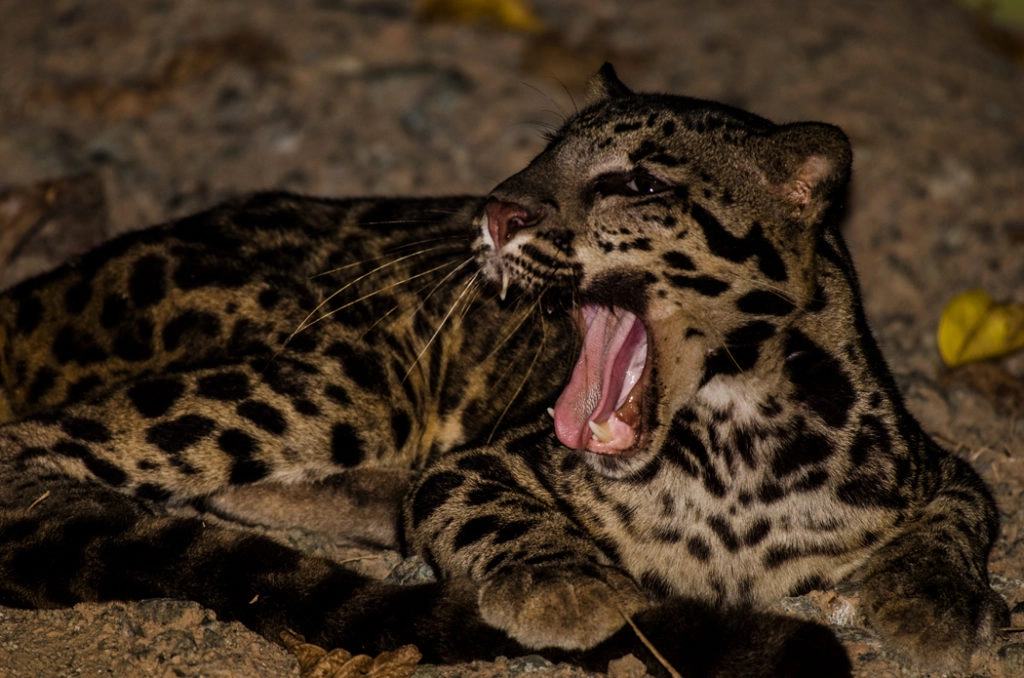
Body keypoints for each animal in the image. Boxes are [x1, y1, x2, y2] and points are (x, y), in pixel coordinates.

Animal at [0, 64, 1007, 677]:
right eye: (541, 154)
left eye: (637, 182)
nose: (495, 209)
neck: (734, 445)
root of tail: (50, 285)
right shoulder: (482, 459)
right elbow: (496, 507)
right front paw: (566, 584)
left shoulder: (939, 465)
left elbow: (958, 518)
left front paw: (932, 603)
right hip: (348, 377)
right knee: (39, 460)